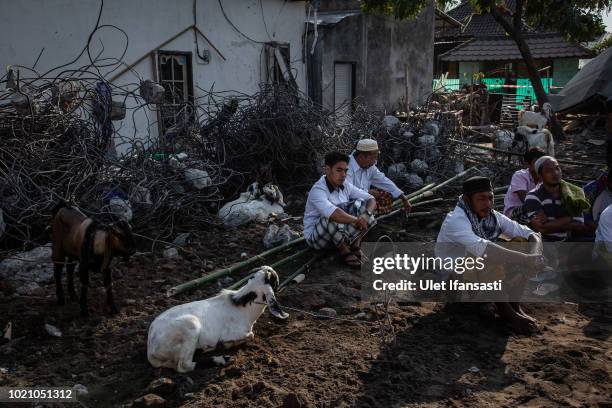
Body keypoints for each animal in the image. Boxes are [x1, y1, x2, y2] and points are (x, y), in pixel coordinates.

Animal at [147, 266, 288, 372]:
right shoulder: (234, 333)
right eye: (274, 280)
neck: (241, 307)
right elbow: (250, 335)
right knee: (183, 366)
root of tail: (151, 351)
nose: (269, 268)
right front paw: (225, 345)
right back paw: (221, 359)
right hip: (191, 325)